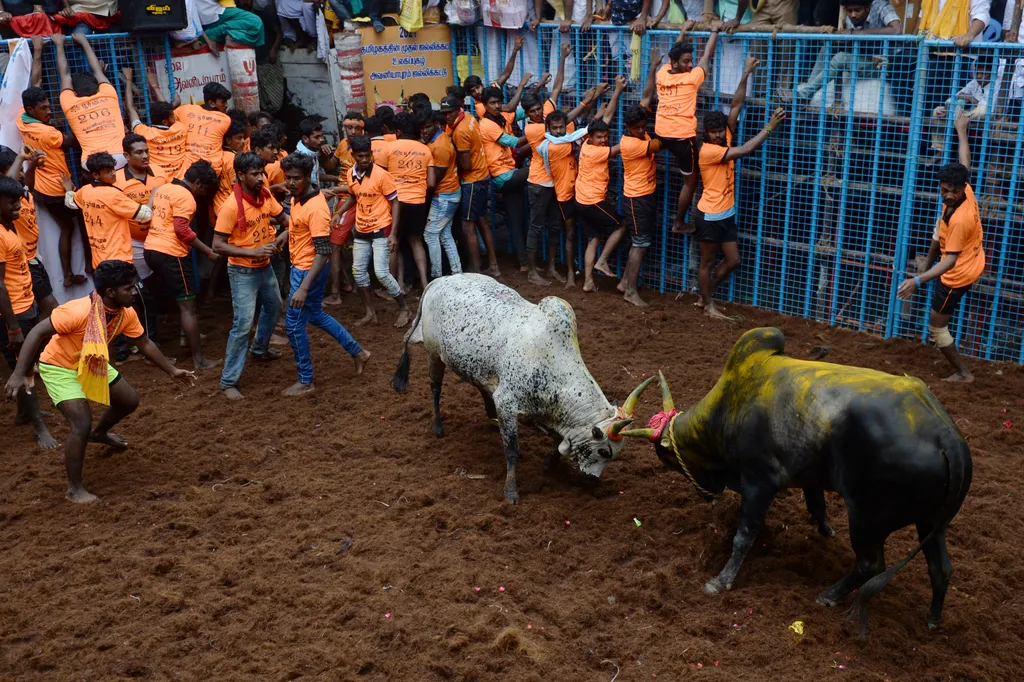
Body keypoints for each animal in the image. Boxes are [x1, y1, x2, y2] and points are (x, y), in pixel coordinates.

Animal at [393, 274, 647, 501]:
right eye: (603, 451)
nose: (592, 479)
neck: (552, 363)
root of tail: (439, 280)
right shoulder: (507, 404)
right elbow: (512, 451)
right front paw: (511, 491)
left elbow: (555, 440)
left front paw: (549, 463)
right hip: (433, 355)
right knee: (435, 389)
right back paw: (438, 426)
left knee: (482, 389)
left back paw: (490, 417)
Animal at [622, 327, 966, 630]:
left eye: (667, 459)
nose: (705, 493)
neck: (731, 404)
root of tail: (944, 433)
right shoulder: (809, 477)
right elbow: (816, 505)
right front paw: (825, 531)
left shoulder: (759, 480)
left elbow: (744, 535)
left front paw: (721, 581)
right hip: (930, 523)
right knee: (941, 569)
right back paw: (933, 618)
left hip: (868, 519)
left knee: (871, 564)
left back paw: (829, 596)